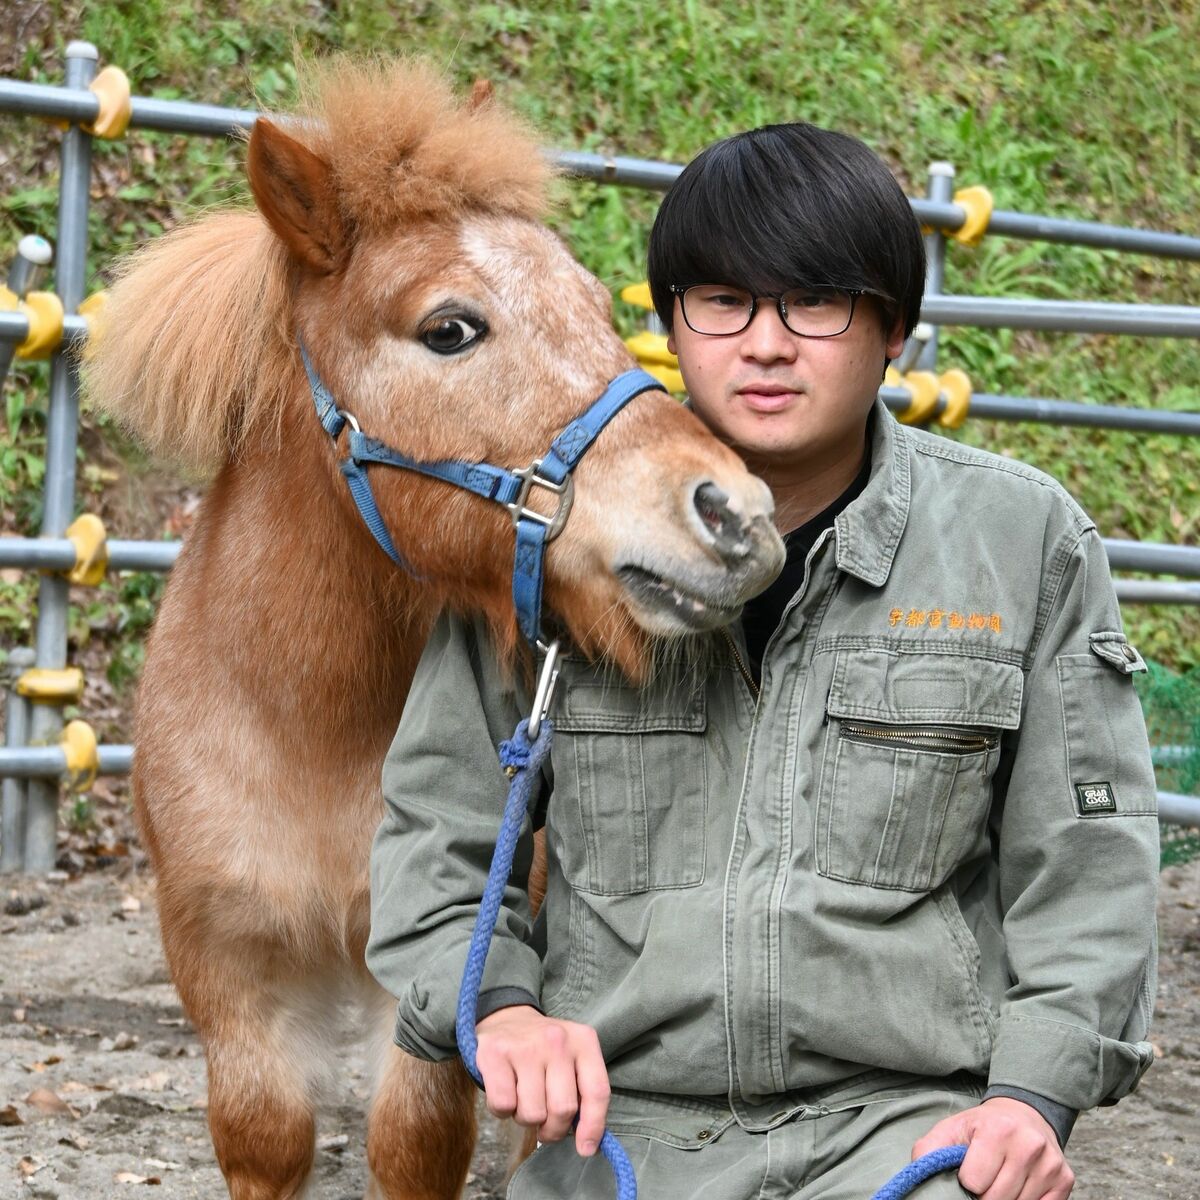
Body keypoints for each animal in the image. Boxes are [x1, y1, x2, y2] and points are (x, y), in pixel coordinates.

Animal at [85, 58, 784, 1199]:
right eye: (450, 327)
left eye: (598, 309)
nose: (736, 515)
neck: (309, 728)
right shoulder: (228, 970)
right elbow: (267, 1132)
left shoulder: (432, 983)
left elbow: (415, 1141)